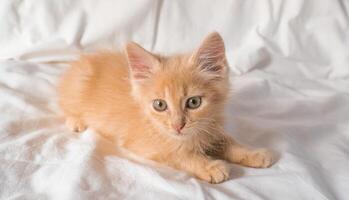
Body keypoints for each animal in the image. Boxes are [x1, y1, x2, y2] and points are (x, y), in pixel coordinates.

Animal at [58, 32, 274, 183]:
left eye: (194, 102)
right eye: (160, 105)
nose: (178, 126)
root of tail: (85, 58)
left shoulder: (211, 129)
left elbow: (228, 141)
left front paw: (253, 154)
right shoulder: (147, 145)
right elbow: (180, 154)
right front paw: (210, 167)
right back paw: (76, 121)